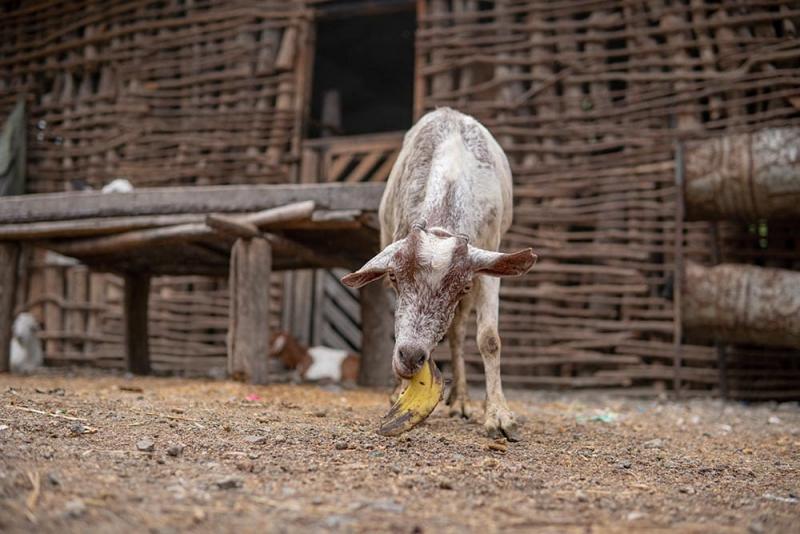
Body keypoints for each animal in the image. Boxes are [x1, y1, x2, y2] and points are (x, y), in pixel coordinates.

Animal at [340, 107, 536, 442]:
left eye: (461, 287)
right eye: (395, 278)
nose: (410, 357)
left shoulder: (487, 259)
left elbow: (489, 338)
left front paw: (499, 415)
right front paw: (402, 394)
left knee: (457, 333)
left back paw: (460, 401)